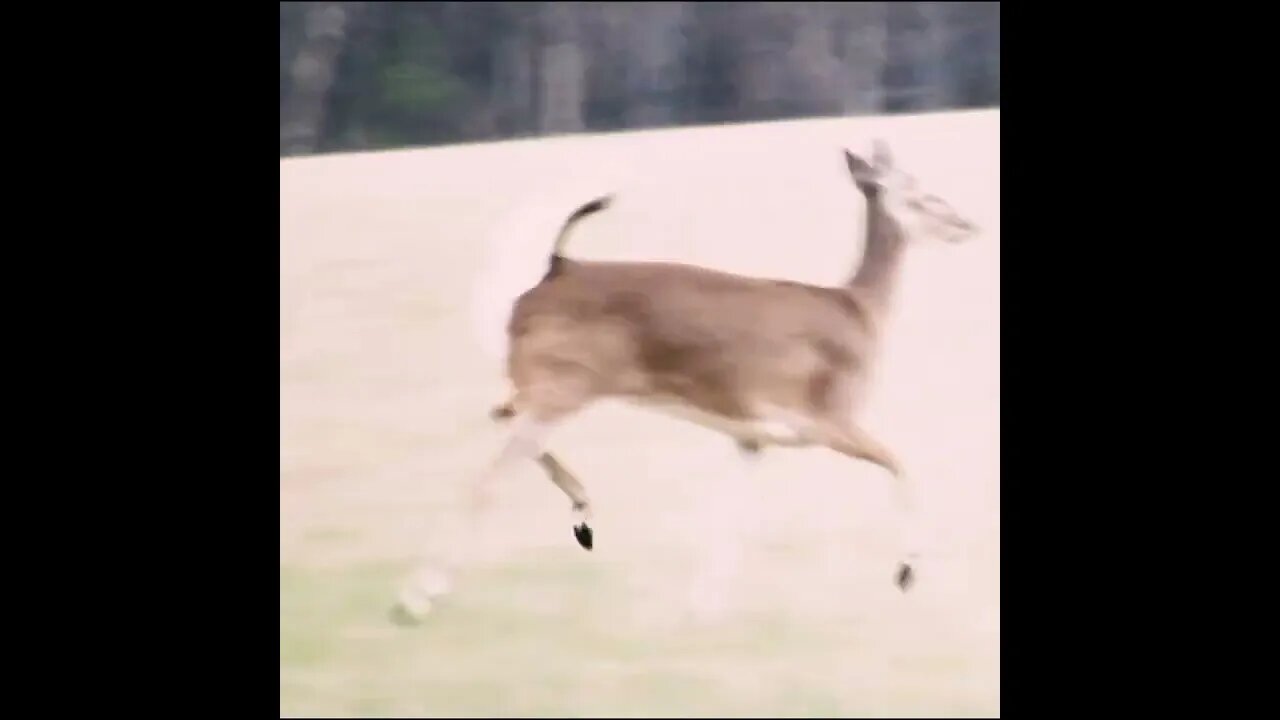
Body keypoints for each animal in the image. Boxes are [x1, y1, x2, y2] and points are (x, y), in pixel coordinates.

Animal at [391, 140, 981, 625]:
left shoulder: (752, 436)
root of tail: (551, 270)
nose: (966, 224)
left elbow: (731, 517)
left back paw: (582, 516)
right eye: (919, 192)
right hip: (564, 385)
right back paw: (418, 601)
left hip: (548, 385)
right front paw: (907, 572)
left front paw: (703, 609)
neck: (861, 312)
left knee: (499, 420)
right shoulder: (826, 416)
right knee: (486, 477)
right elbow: (903, 465)